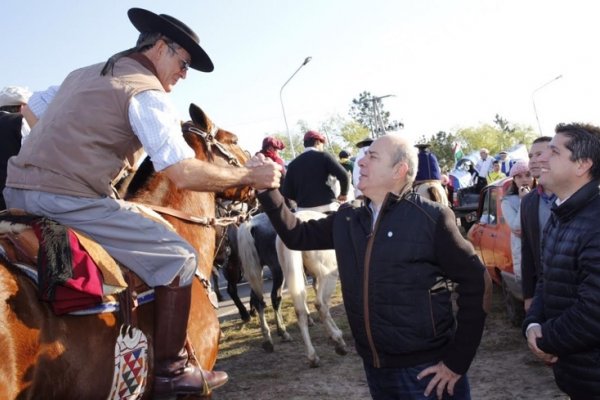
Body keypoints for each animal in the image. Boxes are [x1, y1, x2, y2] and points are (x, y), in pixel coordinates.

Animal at [236, 212, 290, 350]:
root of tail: (251, 224)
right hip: (277, 269)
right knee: (275, 297)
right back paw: (282, 331)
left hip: (255, 272)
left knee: (257, 300)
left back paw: (267, 337)